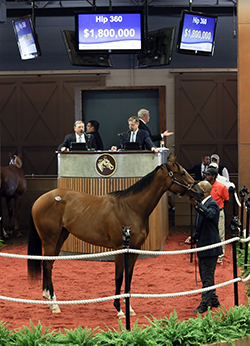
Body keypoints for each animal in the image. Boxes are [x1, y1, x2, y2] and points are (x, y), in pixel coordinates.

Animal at [27, 154, 204, 316]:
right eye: (182, 172)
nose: (201, 191)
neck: (130, 208)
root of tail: (39, 200)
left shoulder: (134, 249)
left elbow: (129, 277)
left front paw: (129, 308)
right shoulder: (120, 249)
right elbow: (119, 277)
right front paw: (119, 310)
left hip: (60, 237)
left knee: (48, 265)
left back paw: (49, 300)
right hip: (50, 240)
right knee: (47, 265)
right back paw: (54, 304)